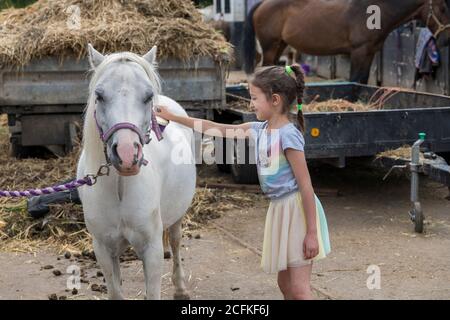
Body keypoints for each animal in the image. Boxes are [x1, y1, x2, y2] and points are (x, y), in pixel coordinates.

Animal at [76, 43, 196, 298]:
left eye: (148, 96)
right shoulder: (103, 249)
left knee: (175, 241)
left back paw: (181, 288)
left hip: (178, 215)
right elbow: (115, 291)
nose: (126, 155)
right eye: (99, 96)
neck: (120, 187)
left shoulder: (151, 251)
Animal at [244, 0, 450, 84]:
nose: (447, 39)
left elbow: (362, 80)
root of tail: (262, 4)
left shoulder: (369, 53)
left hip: (279, 45)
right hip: (270, 47)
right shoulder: (359, 52)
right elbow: (355, 79)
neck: (376, 10)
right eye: (443, 7)